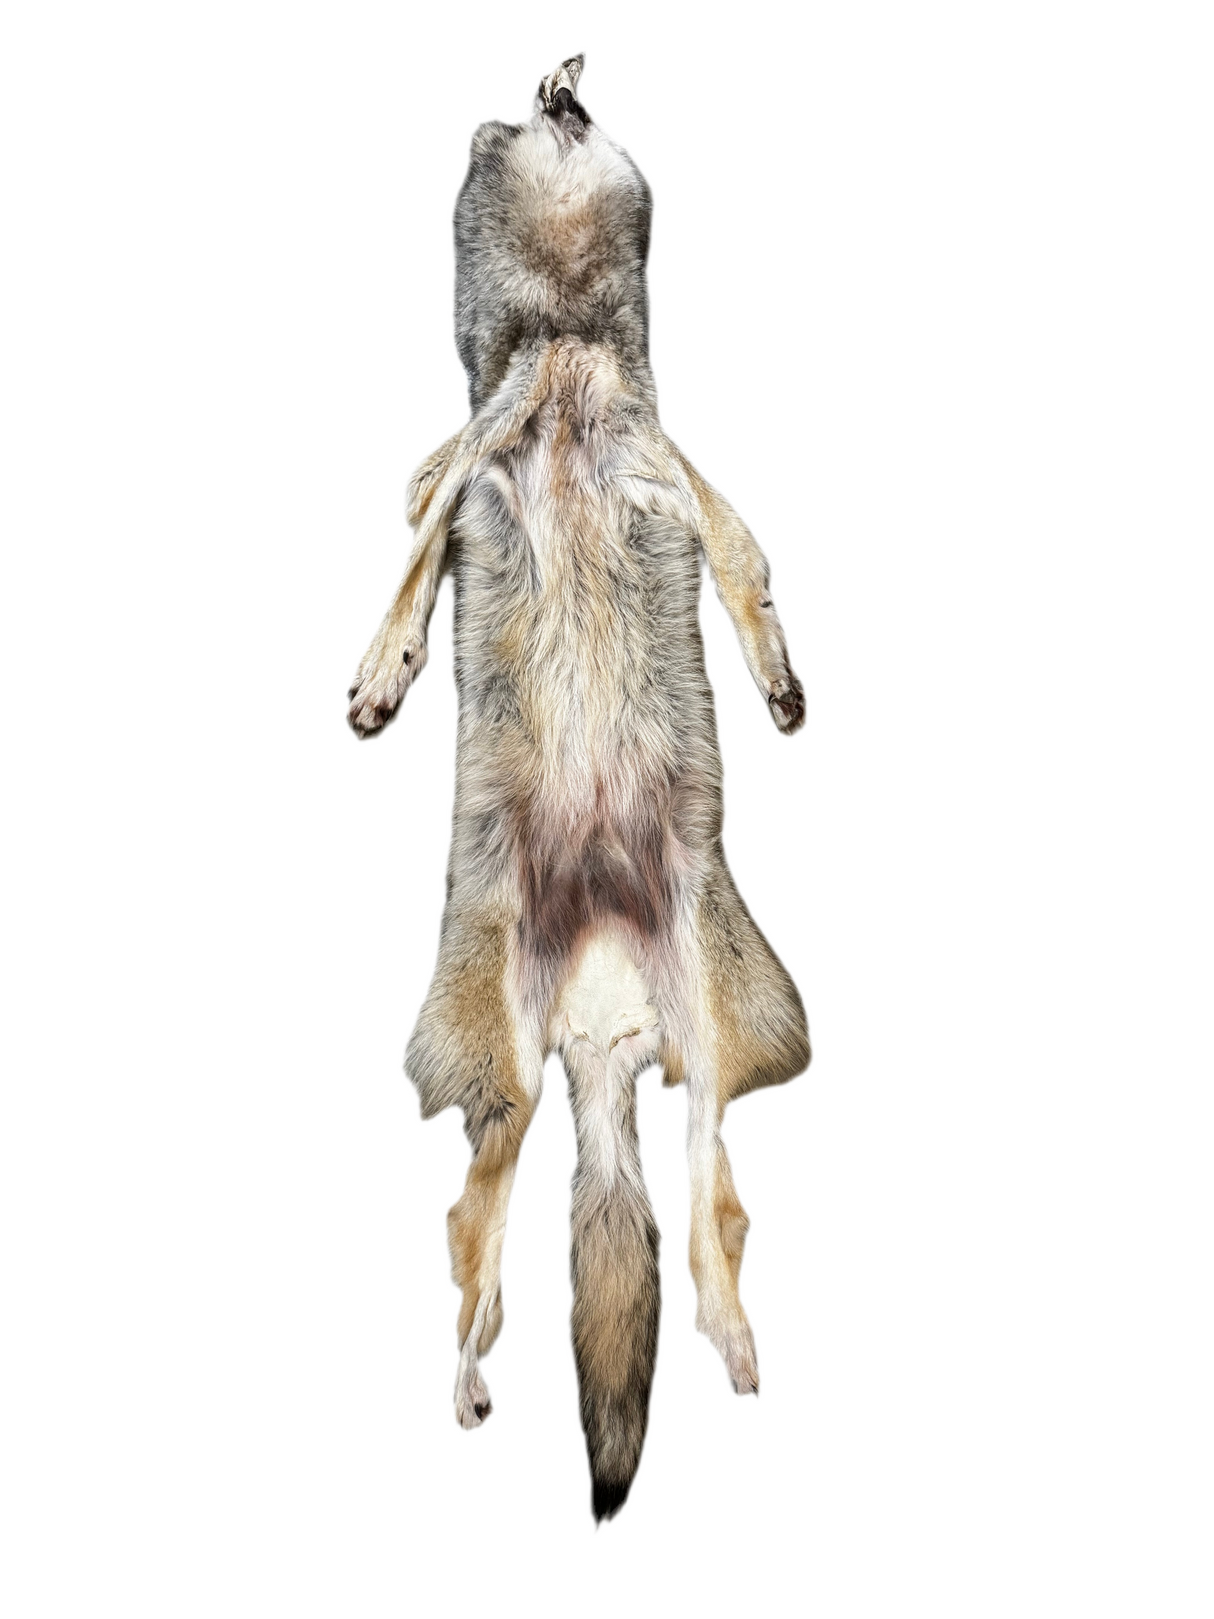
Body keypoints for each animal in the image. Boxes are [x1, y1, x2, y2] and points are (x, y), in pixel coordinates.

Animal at [348, 56, 810, 1520]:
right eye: (493, 134)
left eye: (557, 121)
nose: (560, 75)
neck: (558, 344)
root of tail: (600, 1029)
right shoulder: (479, 451)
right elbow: (414, 544)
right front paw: (379, 676)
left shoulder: (666, 461)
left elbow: (744, 561)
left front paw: (779, 683)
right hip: (501, 1061)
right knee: (481, 1241)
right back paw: (473, 1375)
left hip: (726, 1012)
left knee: (705, 1194)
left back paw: (729, 1332)